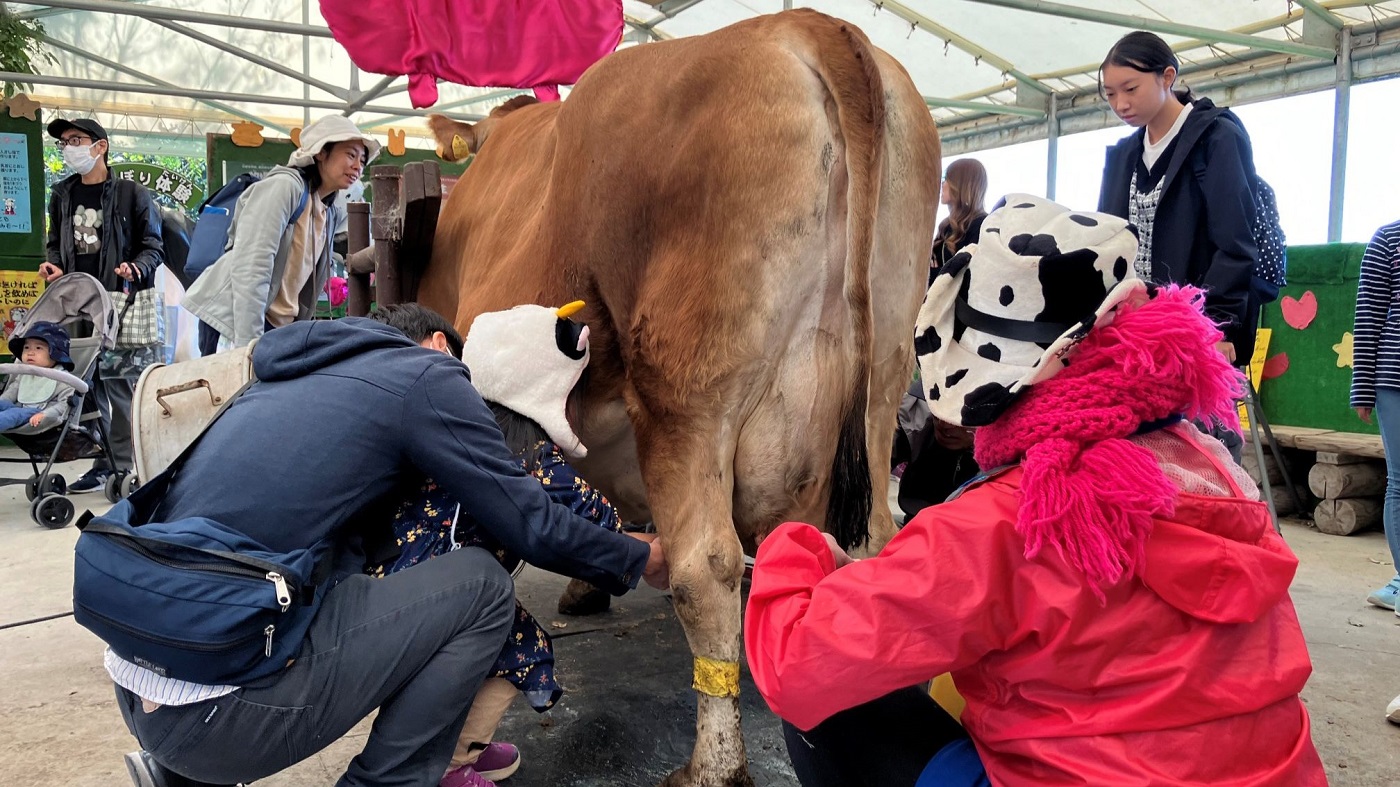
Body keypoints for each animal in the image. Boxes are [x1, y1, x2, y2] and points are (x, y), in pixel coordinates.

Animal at [420, 9, 935, 778]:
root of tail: (809, 23)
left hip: (686, 392)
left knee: (708, 567)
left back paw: (713, 766)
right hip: (880, 379)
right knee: (869, 542)